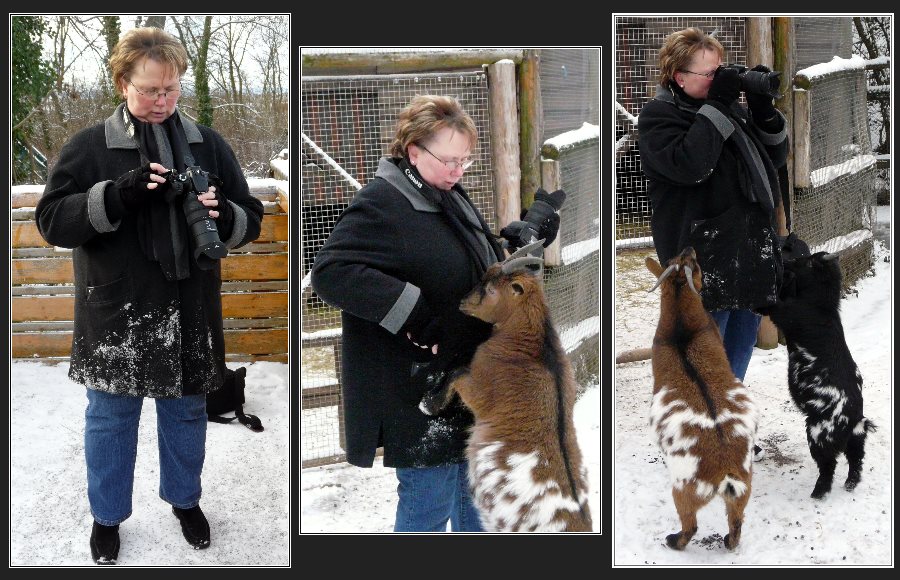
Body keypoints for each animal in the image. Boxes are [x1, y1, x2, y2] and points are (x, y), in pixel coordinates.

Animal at [648, 247, 760, 552]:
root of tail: (725, 471)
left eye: (695, 266)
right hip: (744, 487)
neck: (681, 332)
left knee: (691, 525)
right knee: (736, 521)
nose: (689, 248)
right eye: (674, 260)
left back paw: (673, 540)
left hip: (684, 490)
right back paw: (728, 540)